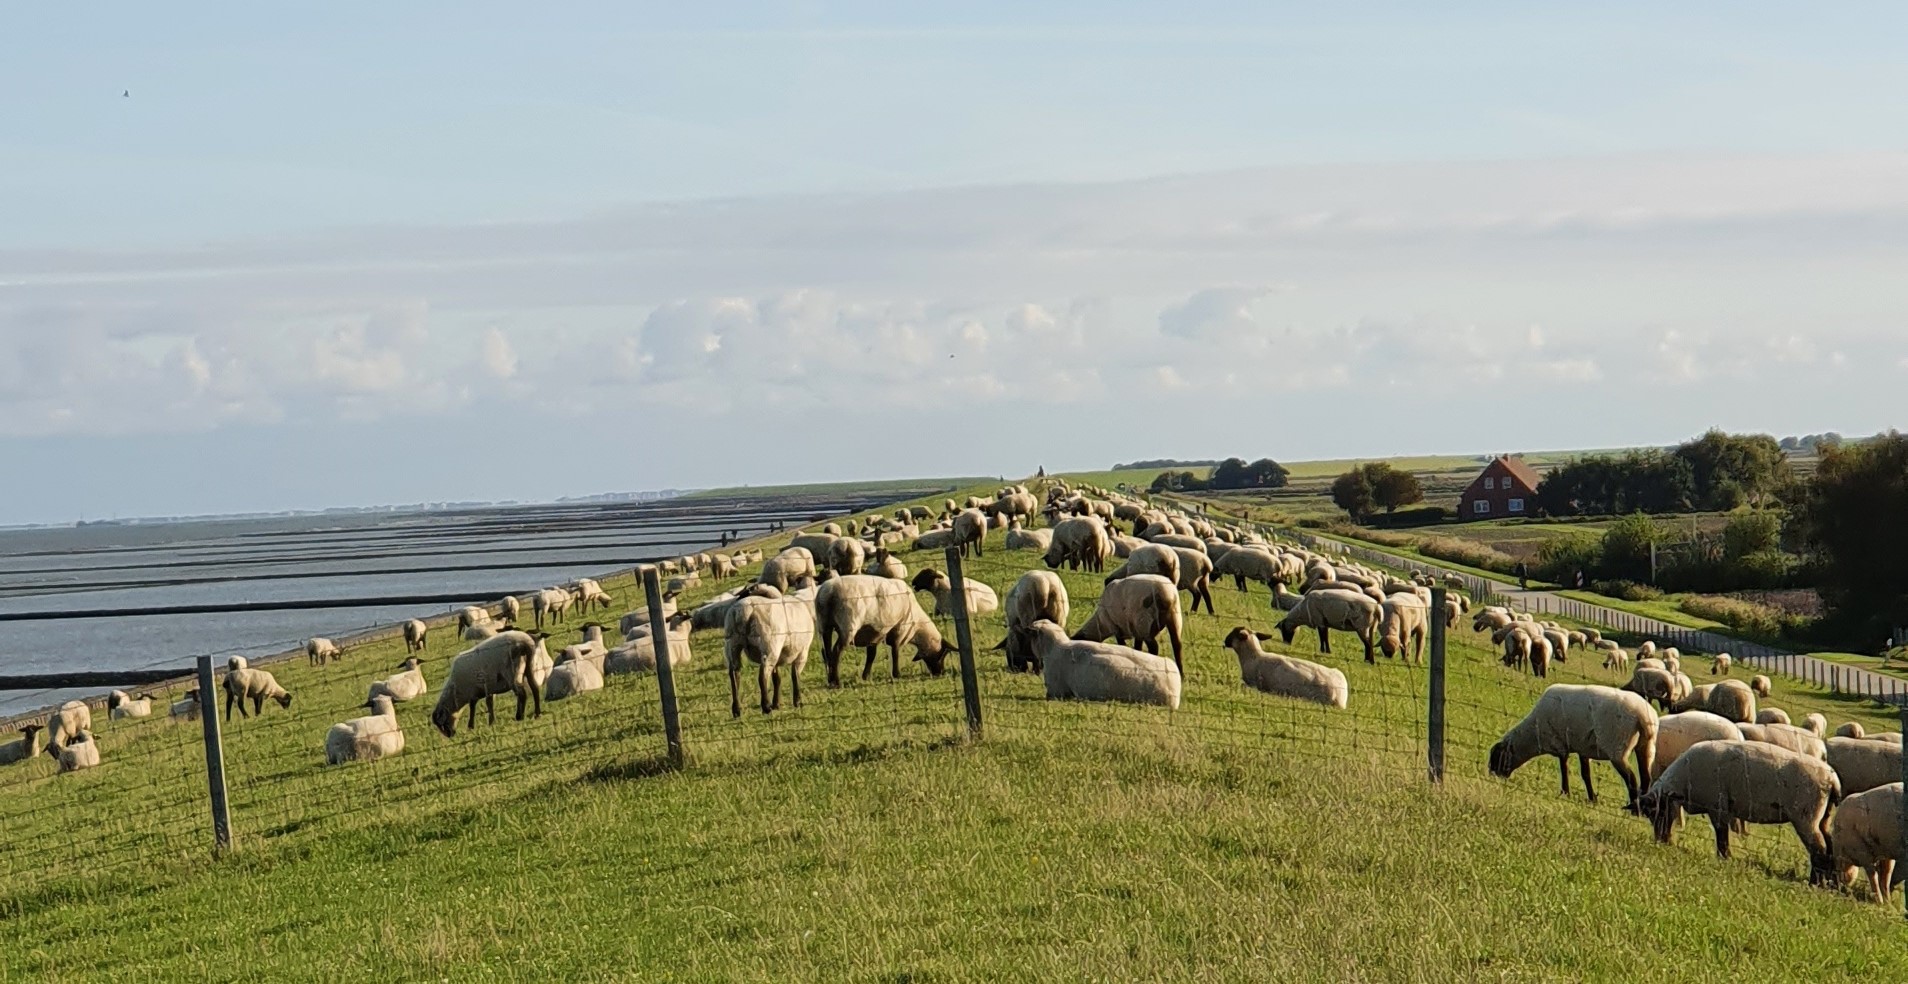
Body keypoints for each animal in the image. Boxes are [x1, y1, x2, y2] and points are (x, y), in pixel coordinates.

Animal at [725, 587, 816, 717]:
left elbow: (777, 679)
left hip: (732, 644)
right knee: (762, 675)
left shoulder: (779, 659)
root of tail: (745, 611)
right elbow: (795, 676)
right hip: (769, 645)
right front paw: (797, 702)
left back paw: (737, 710)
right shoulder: (802, 652)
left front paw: (776, 704)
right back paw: (766, 707)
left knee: (734, 674)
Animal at [812, 568, 954, 682]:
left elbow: (871, 655)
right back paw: (836, 682)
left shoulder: (875, 633)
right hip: (848, 625)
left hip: (824, 625)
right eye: (943, 654)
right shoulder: (899, 629)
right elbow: (895, 652)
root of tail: (828, 592)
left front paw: (866, 676)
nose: (940, 673)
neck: (917, 626)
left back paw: (830, 680)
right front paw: (897, 675)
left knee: (826, 652)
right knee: (836, 651)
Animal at [1488, 682, 1656, 816]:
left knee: (1632, 779)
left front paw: (1565, 793)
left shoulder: (1560, 745)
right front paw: (1592, 799)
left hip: (1617, 749)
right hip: (1645, 747)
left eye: (1497, 757)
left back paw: (1634, 810)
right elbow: (1585, 774)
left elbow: (1564, 769)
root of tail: (1643, 715)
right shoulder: (1583, 749)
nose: (1493, 775)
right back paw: (1640, 809)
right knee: (1646, 777)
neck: (1533, 734)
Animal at [1640, 732, 1846, 881]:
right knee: (1829, 845)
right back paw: (1827, 881)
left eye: (1659, 811)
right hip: (1823, 817)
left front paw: (1725, 857)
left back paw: (1814, 881)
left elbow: (1721, 834)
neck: (1684, 780)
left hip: (1806, 817)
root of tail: (1832, 780)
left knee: (1819, 848)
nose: (1660, 841)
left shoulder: (1717, 807)